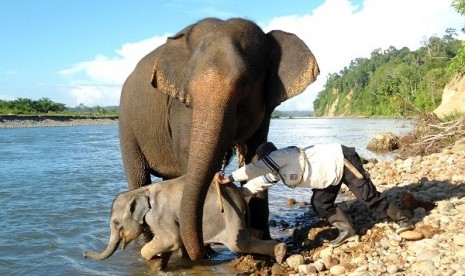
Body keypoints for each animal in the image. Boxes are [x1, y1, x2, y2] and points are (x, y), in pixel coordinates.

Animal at [84, 179, 286, 272]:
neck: (141, 190)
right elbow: (170, 242)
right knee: (252, 234)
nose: (84, 254)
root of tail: (239, 193)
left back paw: (280, 251)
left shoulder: (158, 216)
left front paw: (150, 258)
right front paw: (159, 266)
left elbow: (172, 239)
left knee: (240, 243)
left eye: (116, 223)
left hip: (230, 217)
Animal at [118, 17, 318, 260]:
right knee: (139, 177)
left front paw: (262, 246)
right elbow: (187, 155)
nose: (200, 253)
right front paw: (201, 255)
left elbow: (255, 156)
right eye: (188, 78)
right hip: (127, 127)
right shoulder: (180, 106)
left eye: (244, 81)